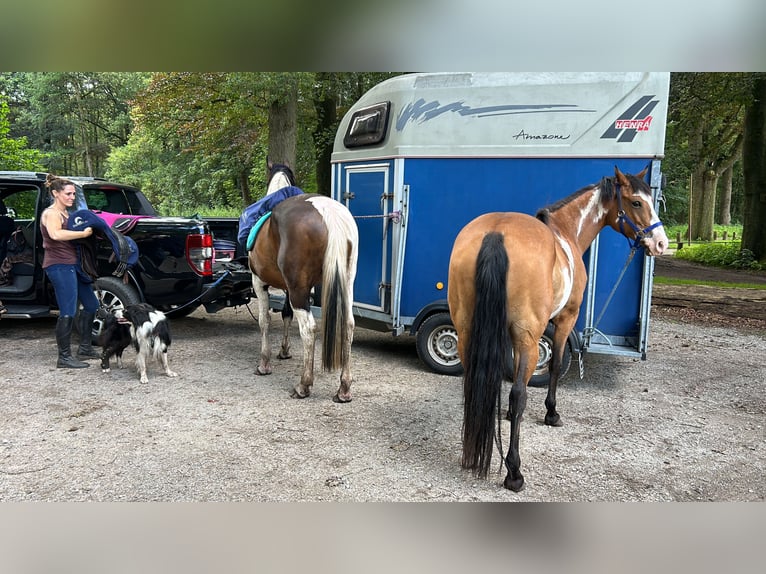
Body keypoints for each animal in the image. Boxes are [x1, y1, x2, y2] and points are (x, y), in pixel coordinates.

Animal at [249, 162, 364, 404]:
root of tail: (328, 212)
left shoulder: (259, 282)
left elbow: (264, 321)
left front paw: (264, 363)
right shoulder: (289, 288)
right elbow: (286, 315)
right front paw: (284, 350)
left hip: (298, 291)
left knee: (308, 329)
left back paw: (304, 385)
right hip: (345, 285)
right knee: (349, 324)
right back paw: (344, 388)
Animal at [448, 168, 668, 496]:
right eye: (637, 202)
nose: (661, 243)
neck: (566, 233)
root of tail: (497, 233)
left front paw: (510, 417)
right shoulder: (564, 320)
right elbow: (552, 367)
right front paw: (552, 413)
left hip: (466, 330)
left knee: (473, 384)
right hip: (527, 335)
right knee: (518, 394)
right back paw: (514, 472)